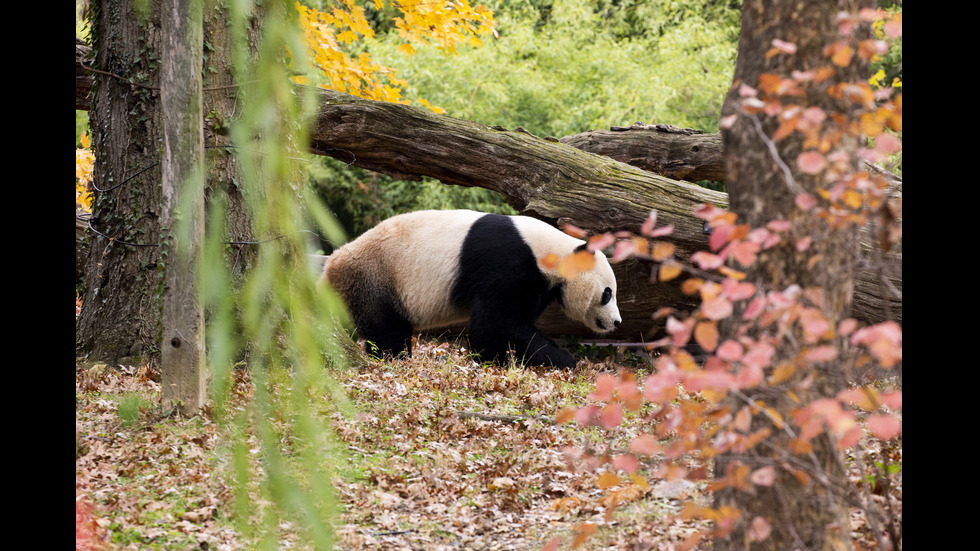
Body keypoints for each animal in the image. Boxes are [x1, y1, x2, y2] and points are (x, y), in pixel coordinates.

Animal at [320, 209, 620, 368]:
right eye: (607, 293)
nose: (616, 322)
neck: (554, 251)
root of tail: (331, 265)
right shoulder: (510, 262)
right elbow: (495, 322)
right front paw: (564, 359)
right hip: (374, 279)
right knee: (386, 331)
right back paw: (395, 359)